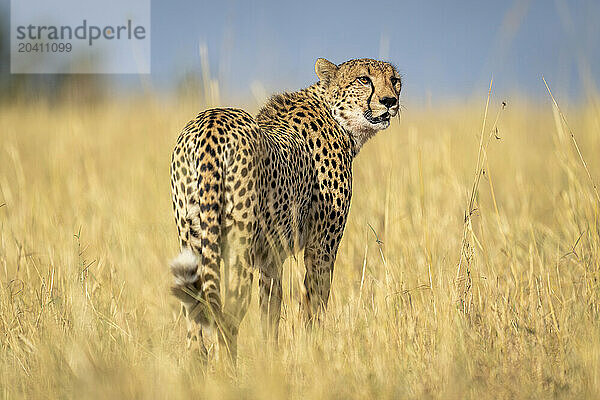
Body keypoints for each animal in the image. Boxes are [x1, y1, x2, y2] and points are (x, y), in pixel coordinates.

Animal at [170, 57, 404, 360]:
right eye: (364, 79)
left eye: (395, 80)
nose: (390, 101)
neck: (336, 116)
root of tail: (211, 120)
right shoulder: (321, 247)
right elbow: (314, 304)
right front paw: (313, 351)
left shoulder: (271, 257)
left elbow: (270, 311)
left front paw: (271, 359)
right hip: (237, 250)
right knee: (227, 319)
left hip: (192, 240)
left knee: (195, 328)